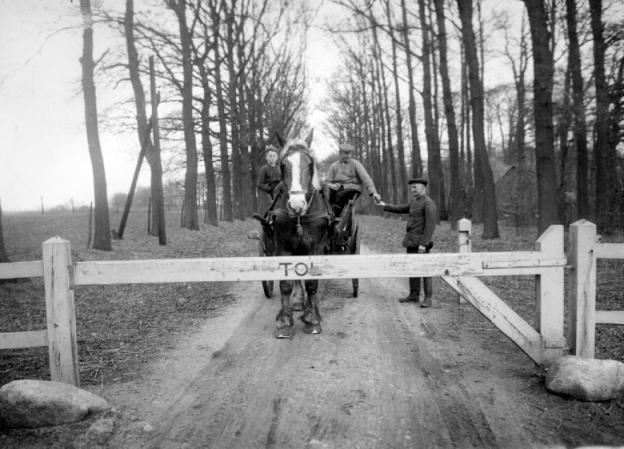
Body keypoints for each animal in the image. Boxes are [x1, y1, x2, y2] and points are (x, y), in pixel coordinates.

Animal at [270, 128, 334, 338]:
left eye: (310, 164)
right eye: (283, 165)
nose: (297, 205)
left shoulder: (317, 247)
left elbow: (312, 282)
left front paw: (312, 319)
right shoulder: (282, 246)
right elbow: (286, 283)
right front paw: (284, 321)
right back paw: (298, 301)